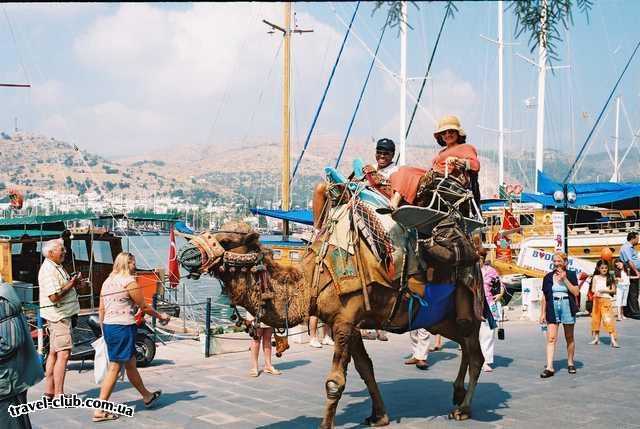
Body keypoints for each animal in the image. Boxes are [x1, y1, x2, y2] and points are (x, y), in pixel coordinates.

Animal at [176, 219, 484, 426]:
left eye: (226, 241)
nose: (186, 253)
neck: (312, 280)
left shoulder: (346, 319)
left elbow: (335, 382)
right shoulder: (347, 324)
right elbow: (366, 369)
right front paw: (379, 416)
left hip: (465, 307)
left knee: (475, 352)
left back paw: (463, 409)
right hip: (438, 318)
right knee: (464, 345)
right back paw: (456, 394)